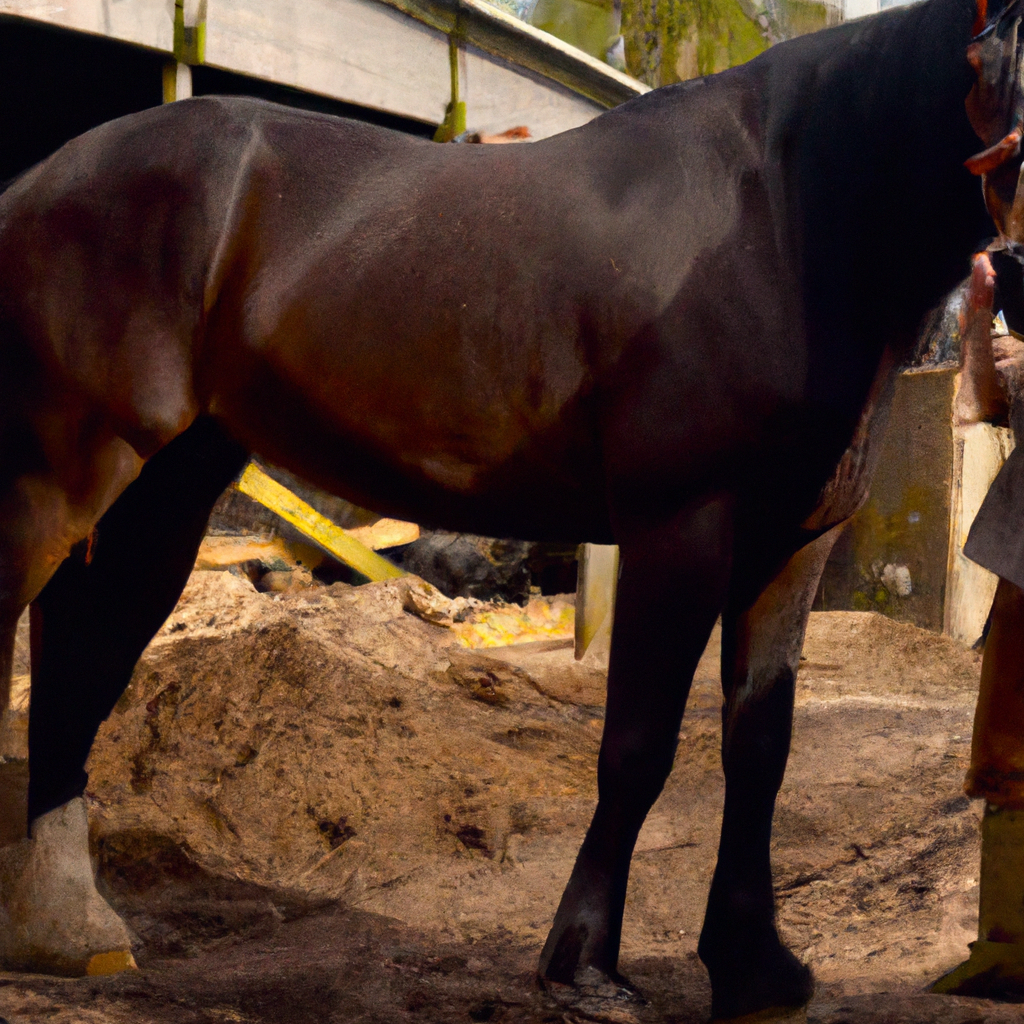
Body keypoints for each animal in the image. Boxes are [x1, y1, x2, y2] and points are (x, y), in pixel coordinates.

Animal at [0, 0, 1019, 1011]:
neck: (786, 213)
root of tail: (38, 180)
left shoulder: (793, 544)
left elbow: (760, 744)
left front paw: (754, 965)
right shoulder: (680, 529)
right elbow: (640, 746)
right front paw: (584, 965)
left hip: (163, 487)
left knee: (79, 659)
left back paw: (68, 931)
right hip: (62, 474)